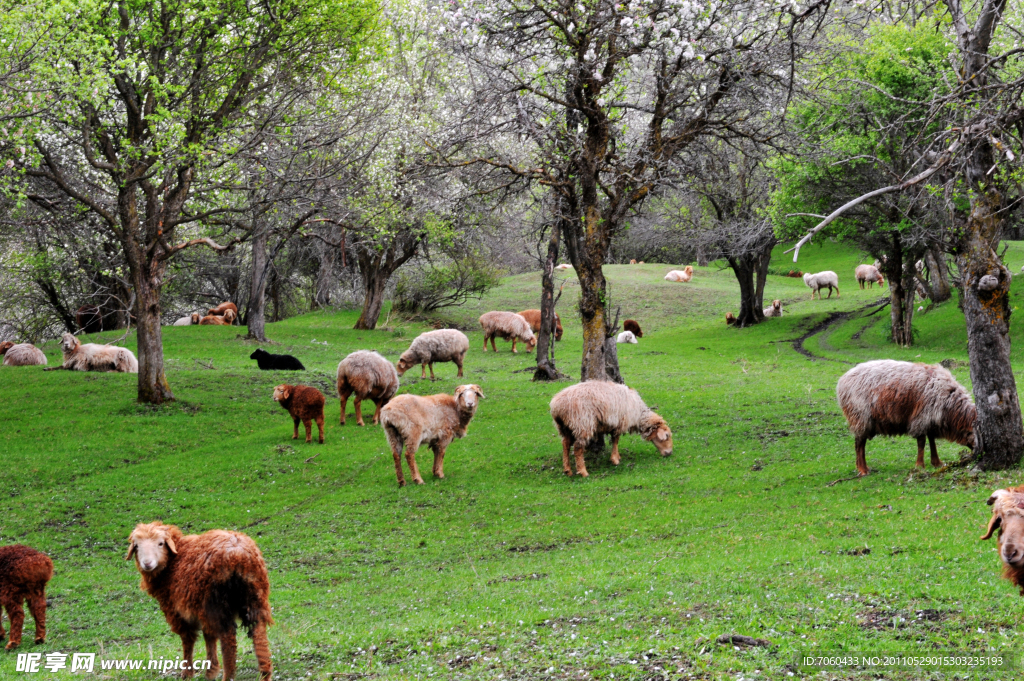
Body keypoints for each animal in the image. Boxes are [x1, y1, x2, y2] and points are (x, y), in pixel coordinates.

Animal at [125, 520, 274, 679]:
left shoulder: (178, 611)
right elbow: (209, 636)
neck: (174, 562)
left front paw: (188, 673)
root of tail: (238, 555)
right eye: (137, 546)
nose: (147, 563)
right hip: (255, 597)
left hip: (216, 603)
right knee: (259, 632)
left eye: (160, 543)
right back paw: (265, 673)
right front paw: (210, 670)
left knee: (228, 638)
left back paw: (228, 676)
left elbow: (188, 639)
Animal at [831, 358, 974, 475]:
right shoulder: (921, 417)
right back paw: (863, 469)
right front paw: (920, 465)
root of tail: (842, 381)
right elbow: (922, 442)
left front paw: (937, 462)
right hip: (860, 416)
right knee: (859, 443)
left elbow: (932, 440)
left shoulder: (929, 418)